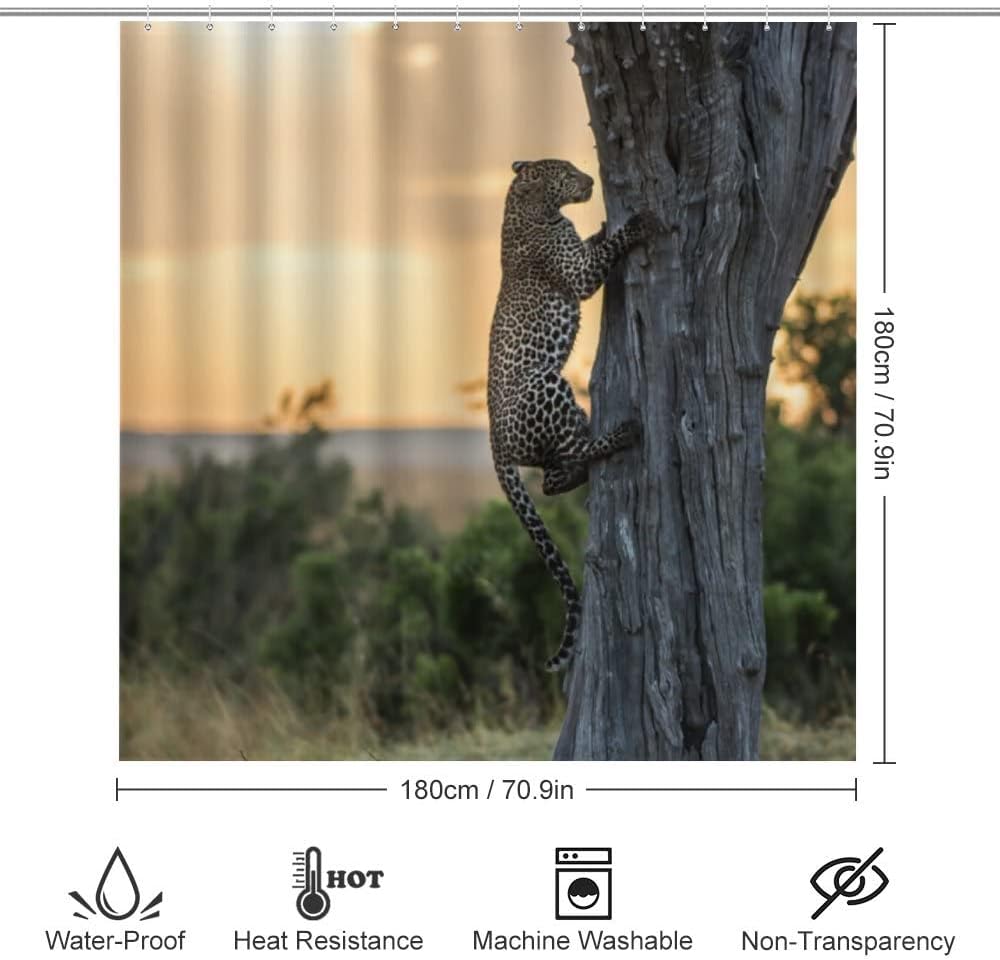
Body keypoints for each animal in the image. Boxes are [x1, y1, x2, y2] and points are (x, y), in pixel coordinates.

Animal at [487, 158, 659, 671]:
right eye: (565, 171)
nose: (590, 180)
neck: (529, 207)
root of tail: (494, 444)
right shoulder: (578, 275)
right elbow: (608, 253)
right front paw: (634, 224)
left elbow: (597, 244)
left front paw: (603, 226)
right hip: (547, 384)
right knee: (562, 467)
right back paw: (624, 433)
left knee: (556, 471)